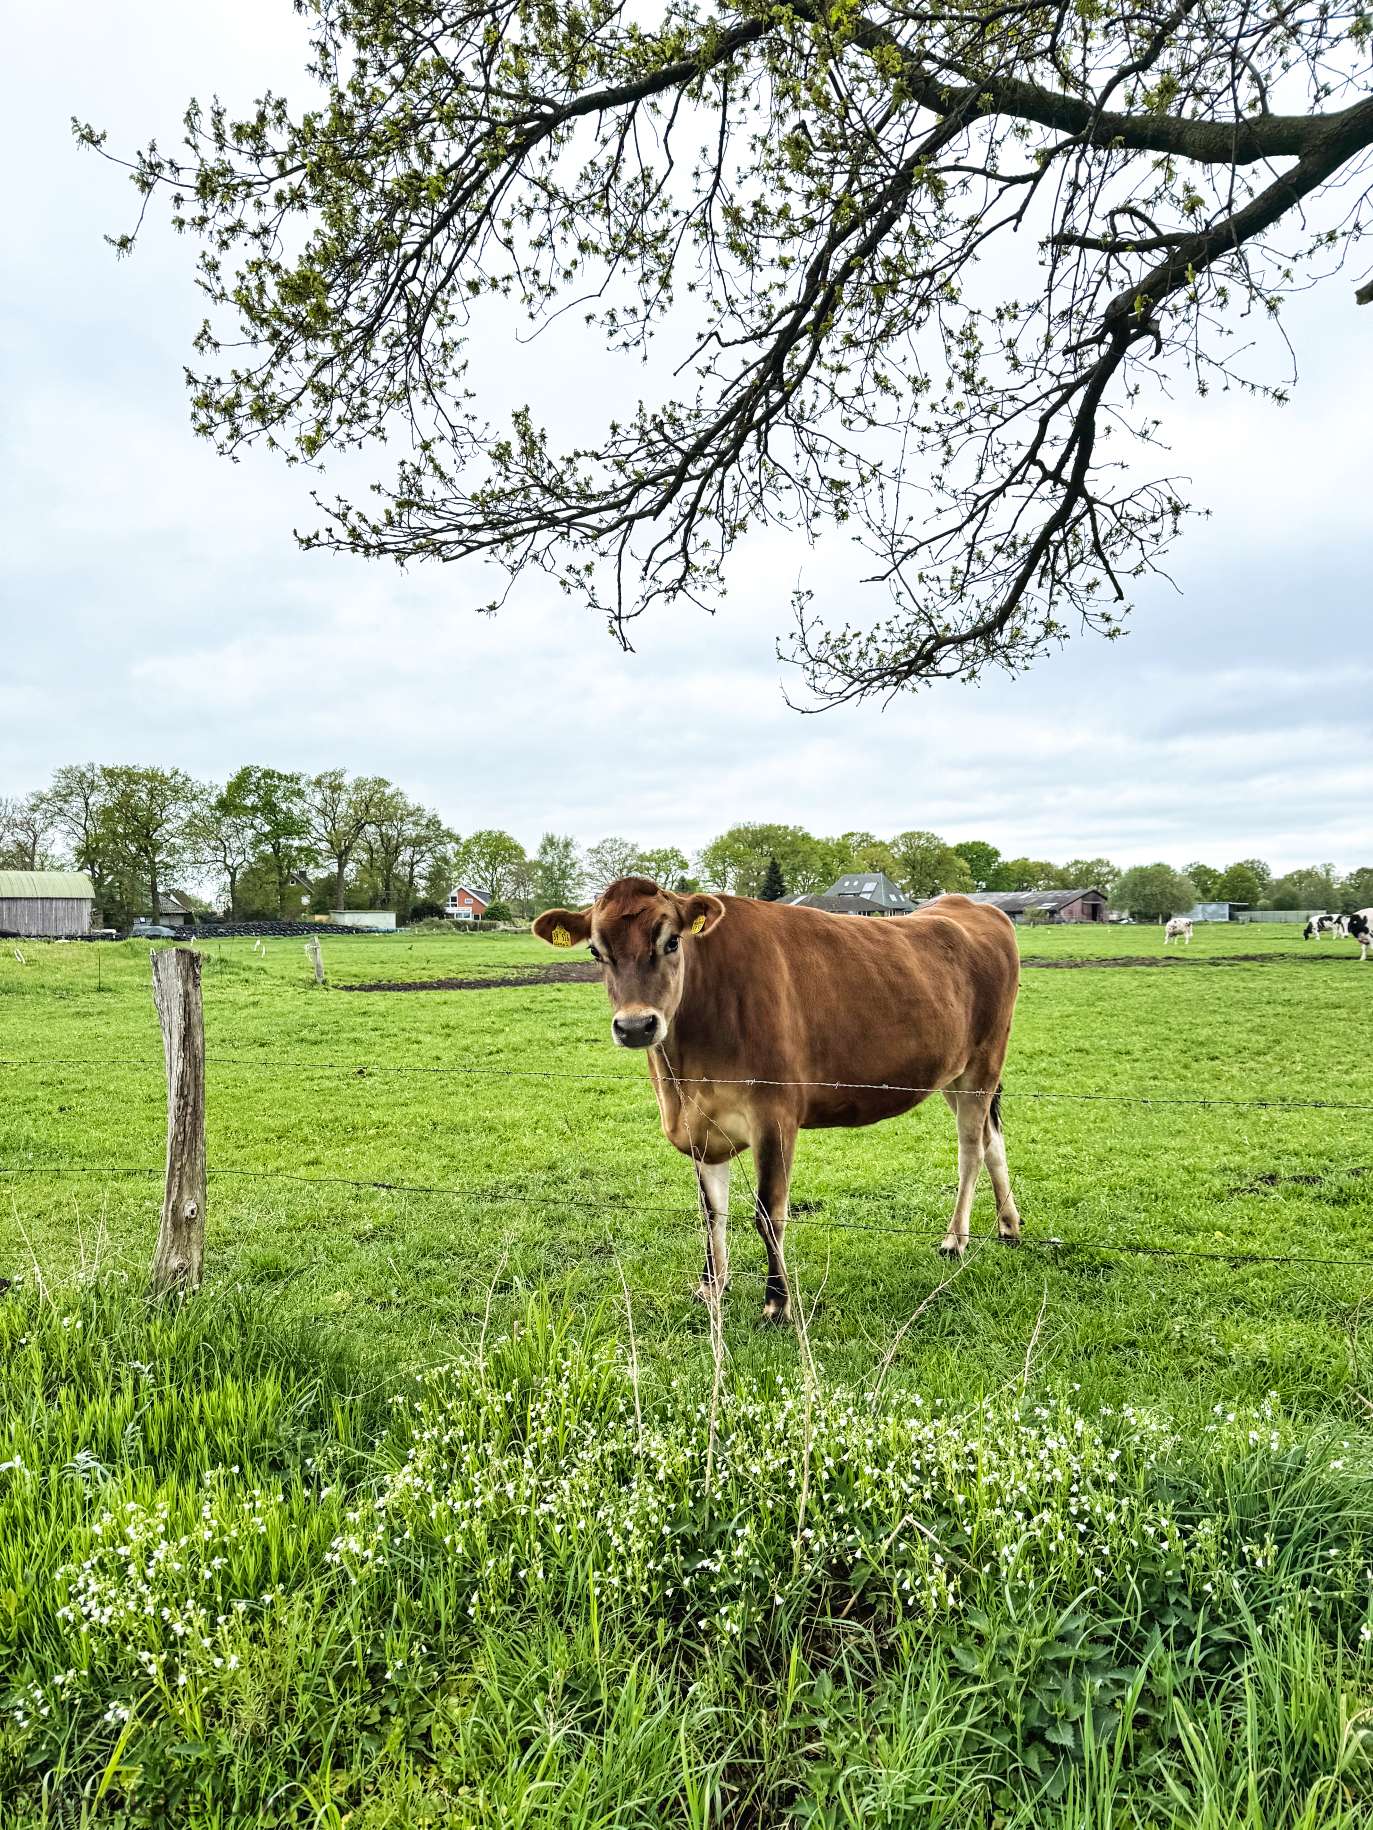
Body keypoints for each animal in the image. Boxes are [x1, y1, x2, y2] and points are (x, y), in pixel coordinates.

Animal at [533, 878, 1022, 1320]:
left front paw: (777, 1304)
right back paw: (1009, 1226)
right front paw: (711, 1287)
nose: (636, 1026)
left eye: (671, 941)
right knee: (992, 1138)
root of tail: (970, 906)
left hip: (982, 1065)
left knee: (971, 1148)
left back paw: (955, 1239)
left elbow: (768, 1214)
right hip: (952, 1074)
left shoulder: (775, 1114)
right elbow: (711, 1213)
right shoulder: (701, 1126)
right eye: (595, 952)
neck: (684, 1075)